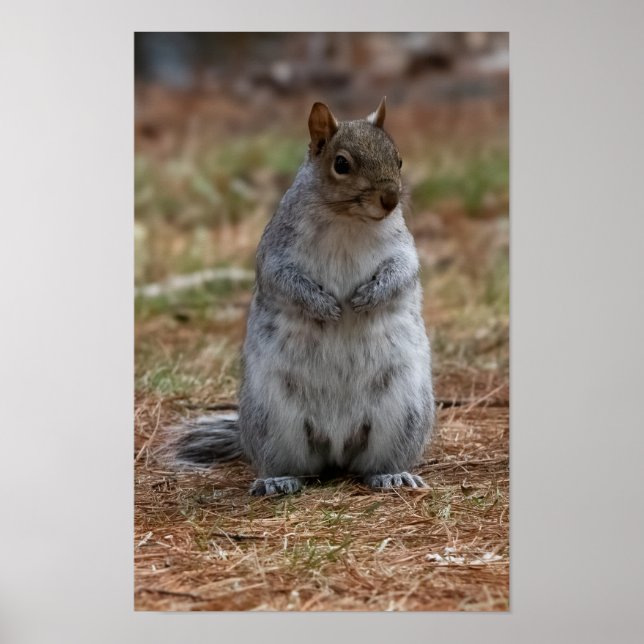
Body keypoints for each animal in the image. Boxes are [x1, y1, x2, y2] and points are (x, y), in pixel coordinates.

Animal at [168, 98, 435, 496]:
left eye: (398, 158)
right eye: (341, 164)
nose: (390, 199)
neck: (348, 220)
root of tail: (337, 449)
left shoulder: (401, 247)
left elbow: (403, 273)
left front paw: (367, 298)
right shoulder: (276, 249)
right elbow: (282, 279)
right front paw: (323, 305)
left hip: (403, 412)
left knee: (376, 462)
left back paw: (392, 475)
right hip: (273, 419)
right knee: (293, 464)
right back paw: (277, 480)